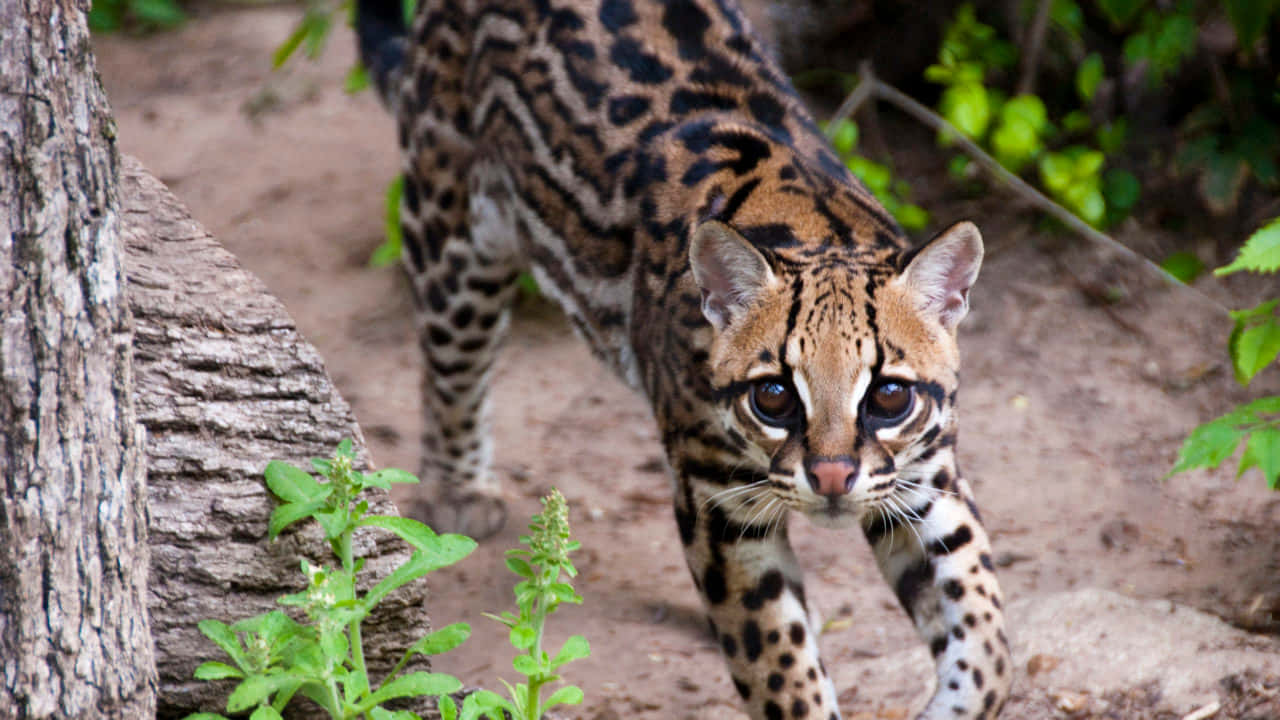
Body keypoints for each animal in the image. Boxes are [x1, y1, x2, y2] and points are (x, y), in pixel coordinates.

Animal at [353, 0, 1008, 712]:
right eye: (774, 396)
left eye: (889, 396)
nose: (832, 478)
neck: (817, 233)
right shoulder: (717, 502)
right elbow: (781, 669)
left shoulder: (926, 477)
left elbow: (988, 635)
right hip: (451, 228)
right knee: (451, 360)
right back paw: (456, 487)